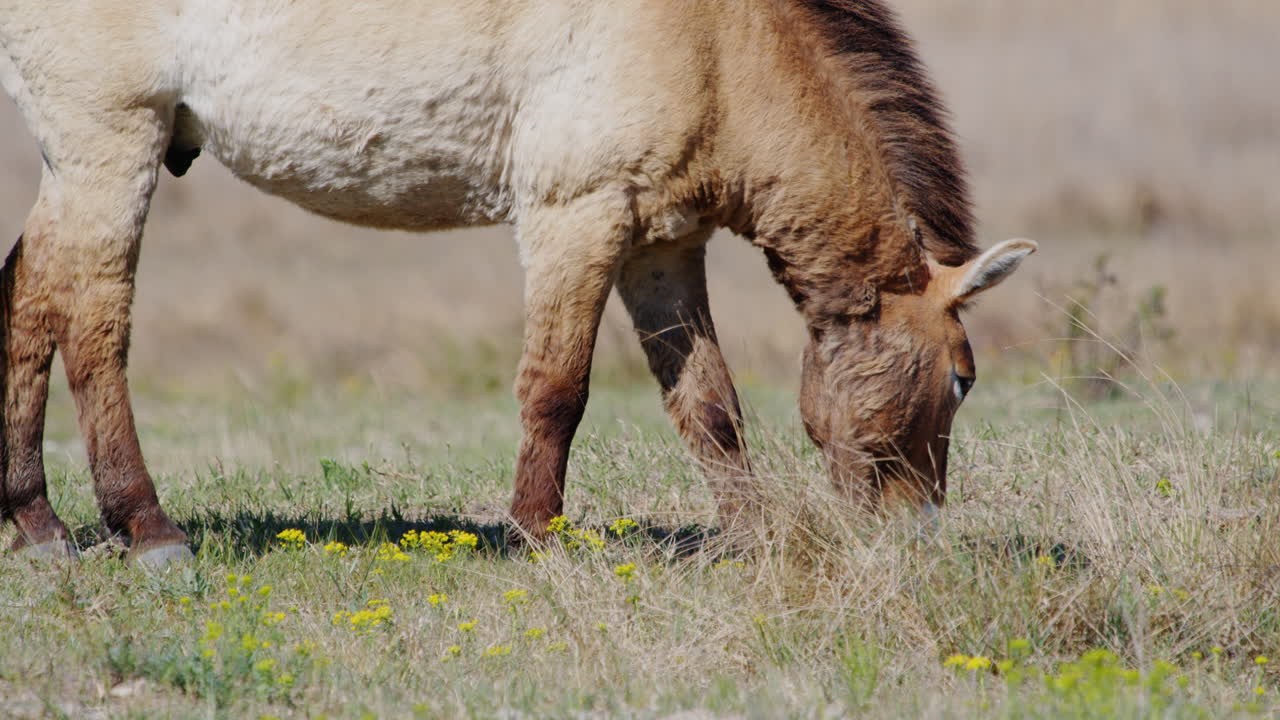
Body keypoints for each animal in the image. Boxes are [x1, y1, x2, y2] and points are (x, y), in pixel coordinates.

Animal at [0, 0, 1034, 568]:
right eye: (963, 381)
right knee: (92, 328)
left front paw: (754, 539)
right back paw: (148, 529)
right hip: (111, 143)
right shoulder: (575, 217)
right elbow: (557, 389)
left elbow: (708, 404)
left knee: (27, 302)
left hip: (80, 161)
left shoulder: (661, 248)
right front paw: (537, 536)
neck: (718, 38)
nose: (919, 535)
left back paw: (37, 526)